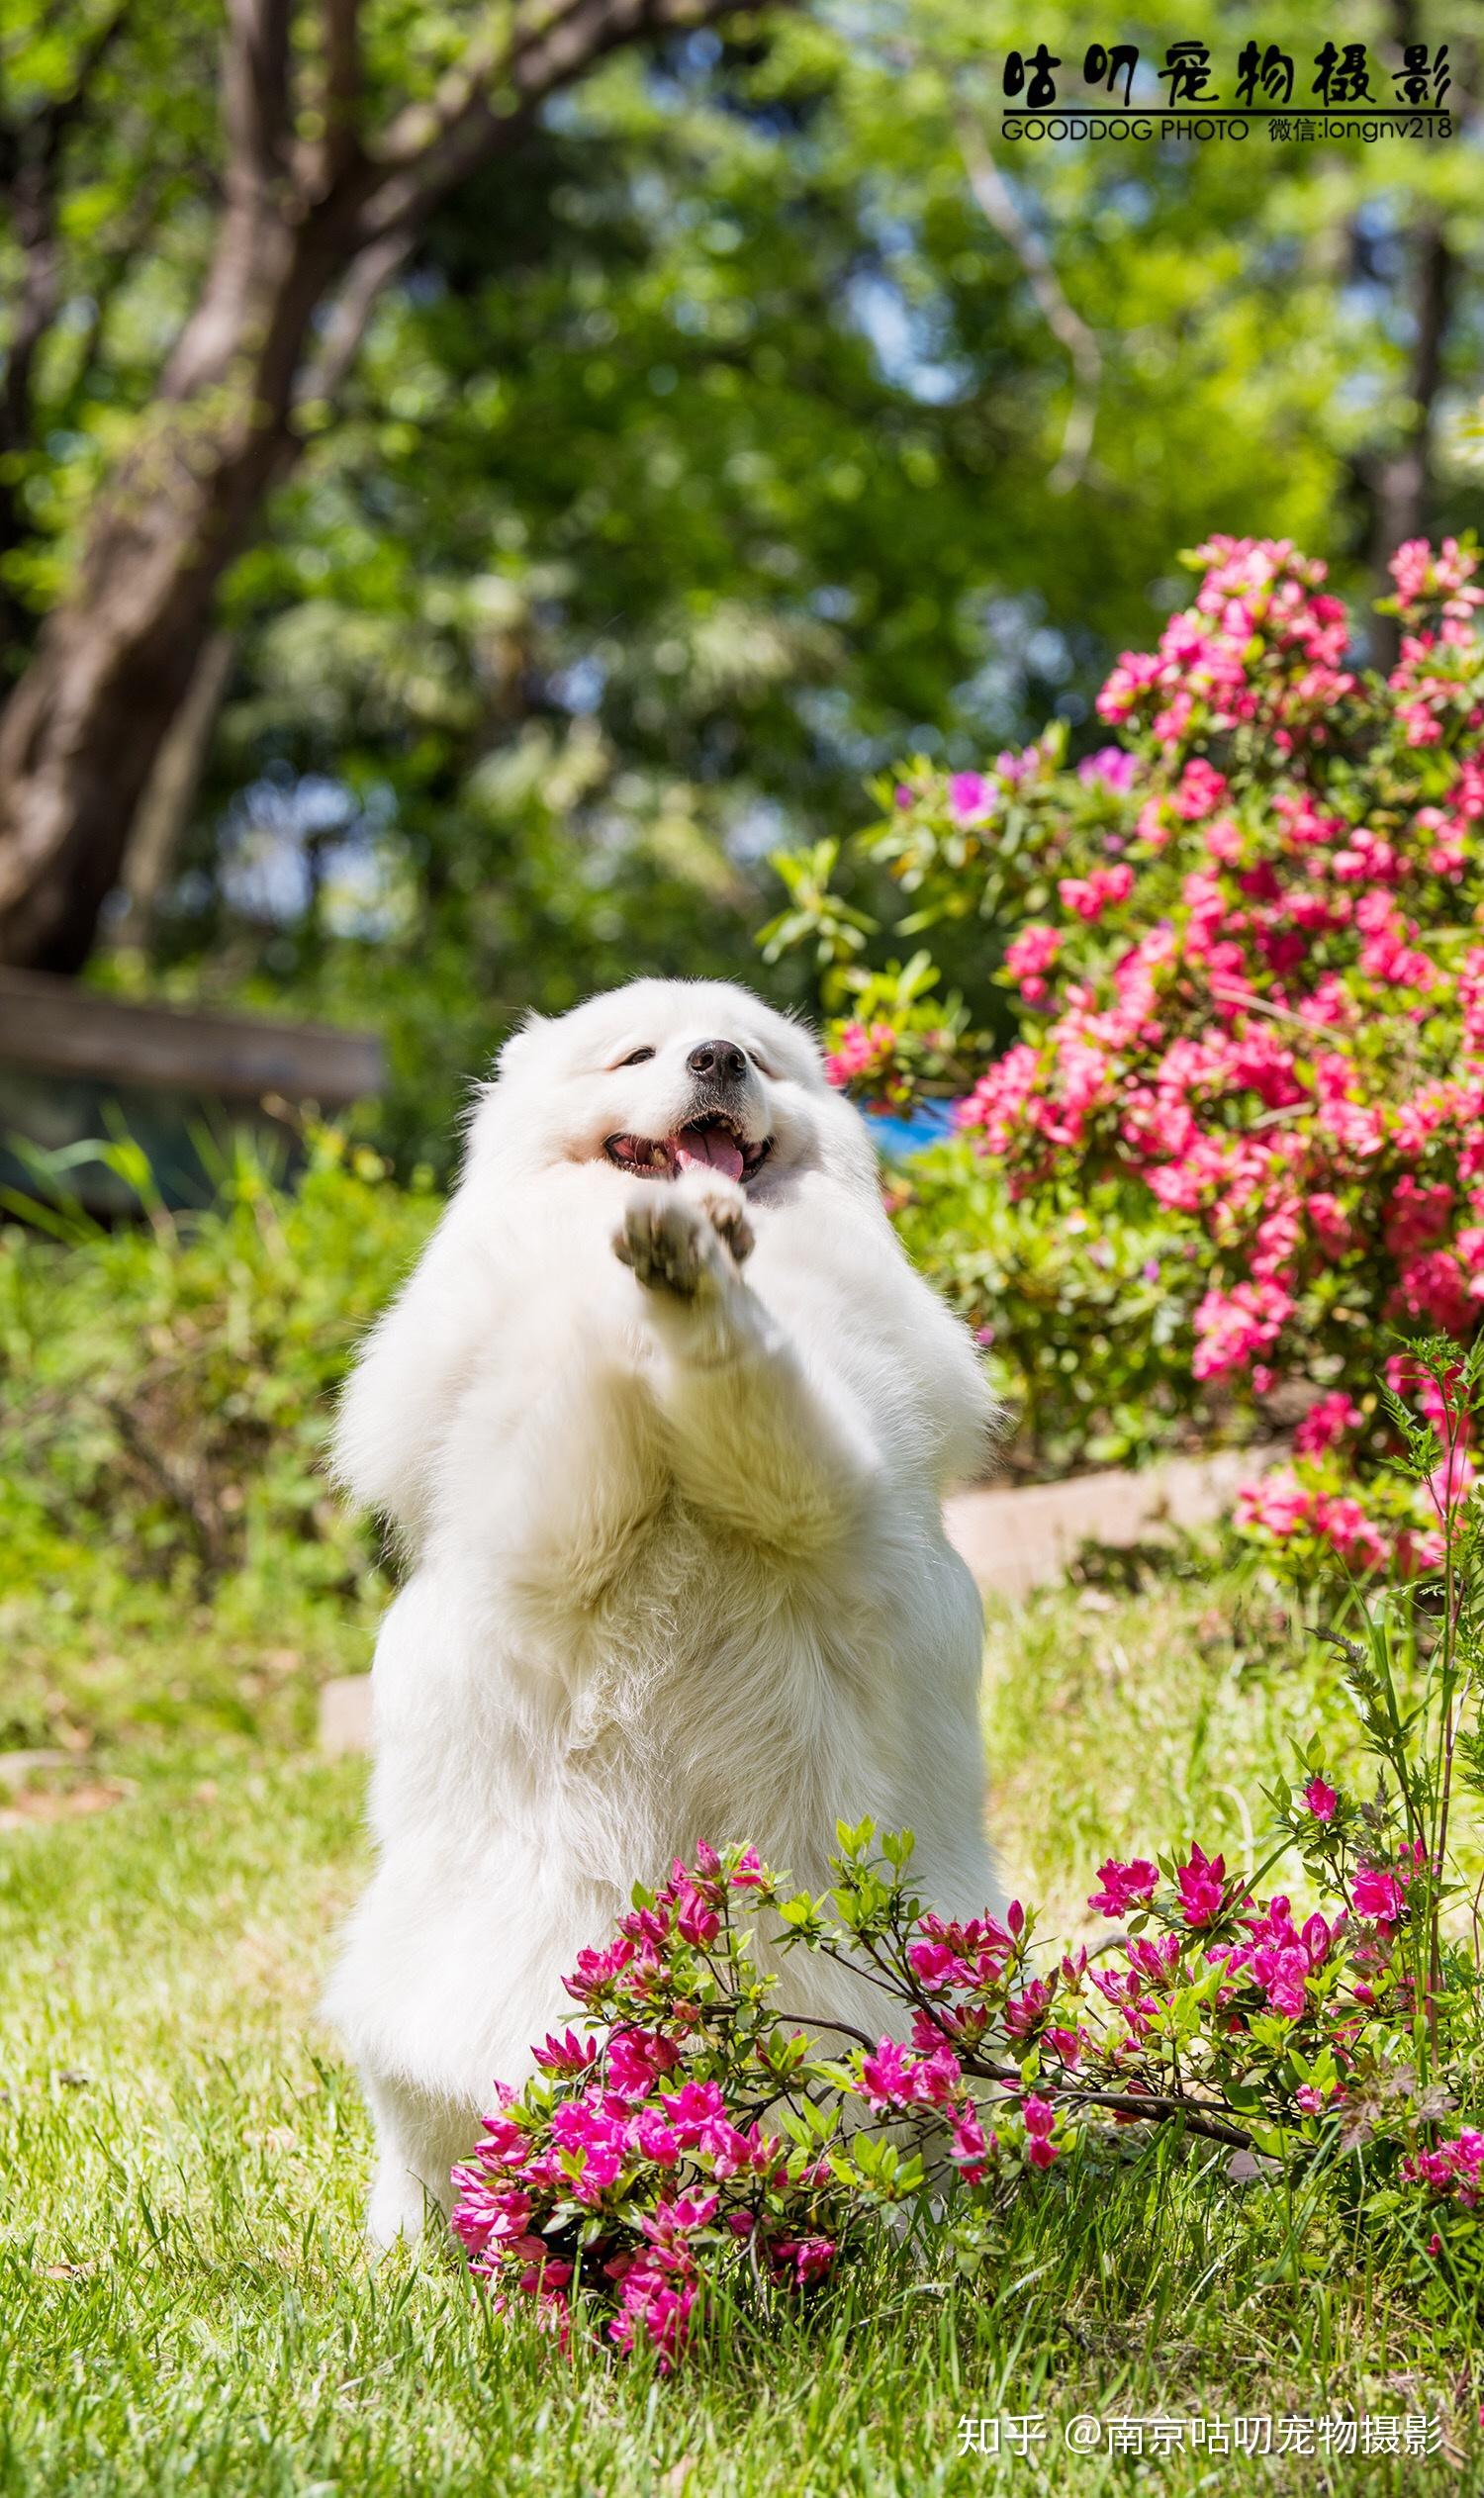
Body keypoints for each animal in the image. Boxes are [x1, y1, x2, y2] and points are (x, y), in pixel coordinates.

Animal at [325, 973, 994, 2248]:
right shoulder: (547, 1522)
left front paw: (698, 1273)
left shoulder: (820, 1482)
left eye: (759, 1058)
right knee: (436, 2165)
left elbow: (743, 1359)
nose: (717, 1056)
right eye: (637, 1053)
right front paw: (651, 1264)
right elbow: (584, 1336)